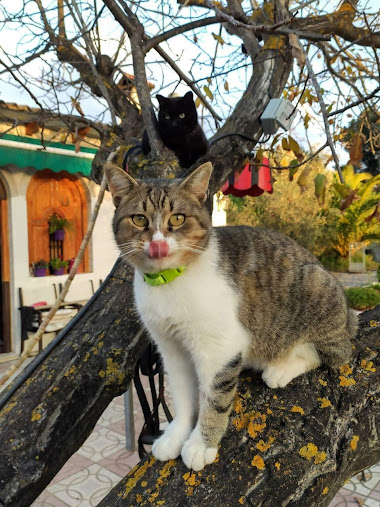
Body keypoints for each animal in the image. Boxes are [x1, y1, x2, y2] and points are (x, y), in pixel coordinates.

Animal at [103, 162, 356, 472]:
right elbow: (183, 396)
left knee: (334, 353)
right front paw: (176, 435)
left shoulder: (219, 347)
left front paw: (202, 444)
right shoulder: (170, 348)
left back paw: (281, 369)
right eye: (139, 219)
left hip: (317, 288)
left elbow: (214, 397)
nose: (158, 245)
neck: (170, 282)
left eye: (178, 218)